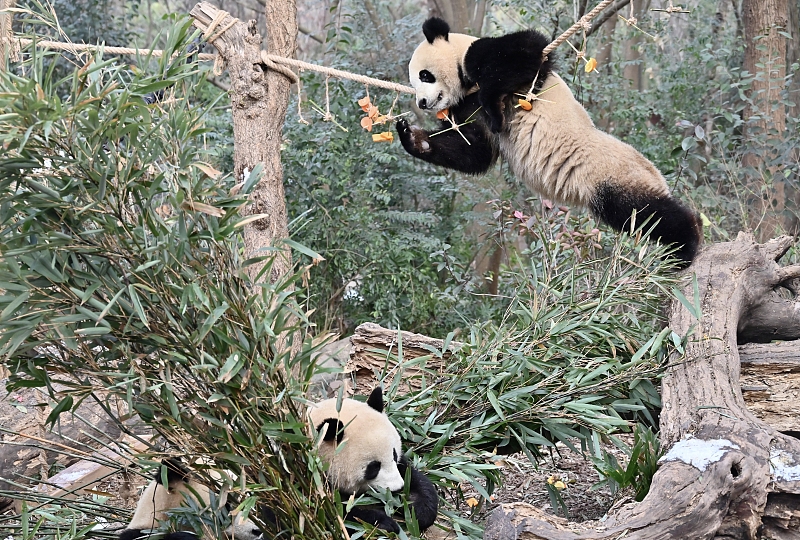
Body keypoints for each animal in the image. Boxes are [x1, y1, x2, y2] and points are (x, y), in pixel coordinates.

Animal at [308, 387, 438, 533]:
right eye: (374, 467)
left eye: (394, 455)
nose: (397, 488)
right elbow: (339, 514)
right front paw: (385, 523)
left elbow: (413, 478)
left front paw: (418, 512)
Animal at [397, 17, 702, 266]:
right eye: (414, 82)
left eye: (425, 75)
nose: (422, 103)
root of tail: (656, 174)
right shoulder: (464, 109)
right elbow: (474, 152)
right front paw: (411, 136)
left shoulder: (488, 59)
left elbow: (526, 51)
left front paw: (494, 107)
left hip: (611, 175)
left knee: (644, 211)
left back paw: (686, 245)